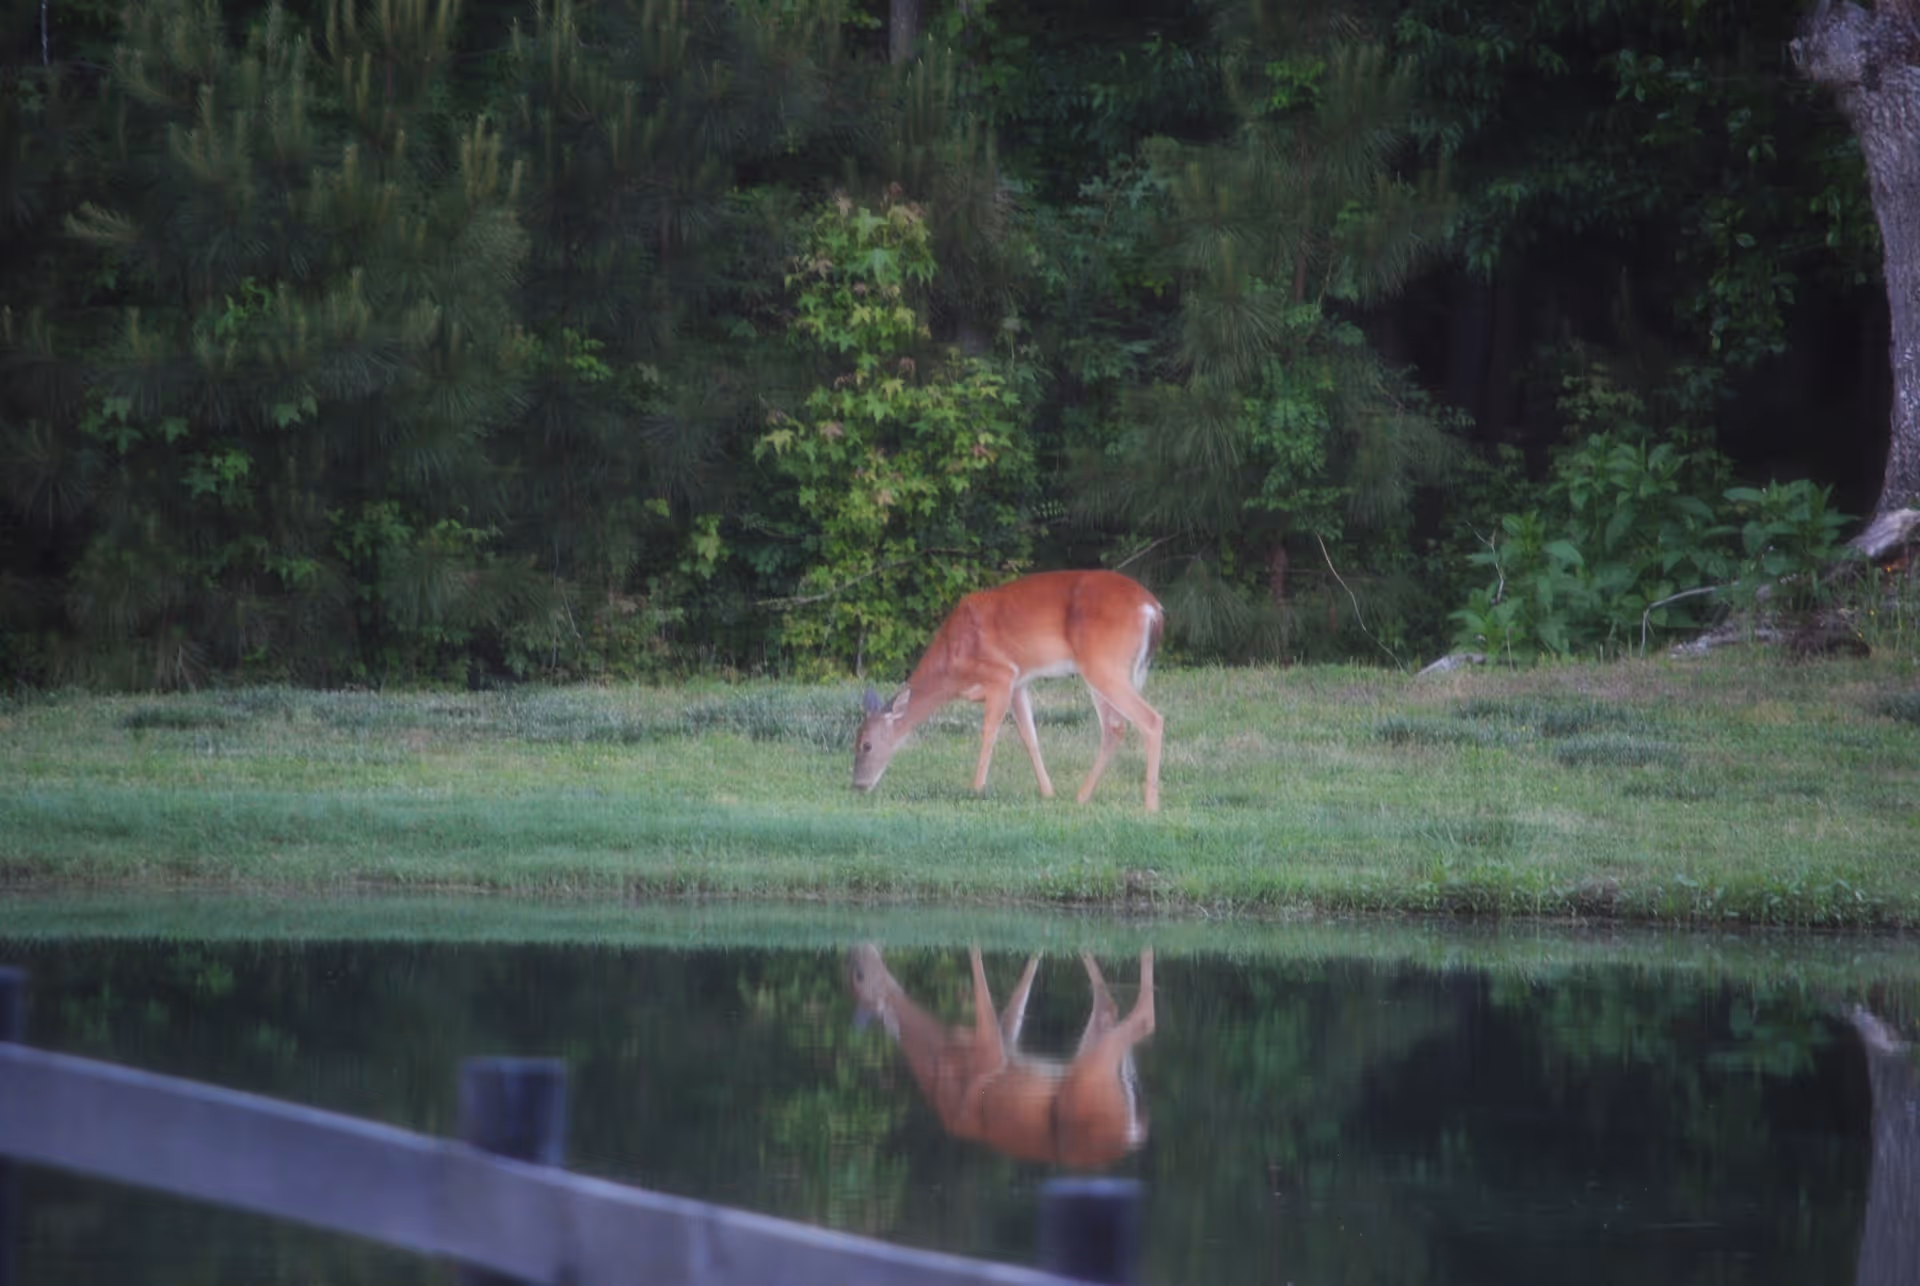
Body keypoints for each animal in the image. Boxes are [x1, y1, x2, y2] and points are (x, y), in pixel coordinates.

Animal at [846, 943, 1155, 1170]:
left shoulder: (989, 1055)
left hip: (1089, 1079)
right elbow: (1015, 1005)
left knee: (1132, 1015)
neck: (942, 1054)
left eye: (858, 977)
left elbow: (975, 958)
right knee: (1108, 1010)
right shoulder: (1007, 1044)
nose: (853, 949)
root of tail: (1133, 1133)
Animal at [852, 570, 1166, 811]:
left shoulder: (1002, 674)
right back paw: (1081, 796)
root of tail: (1152, 608)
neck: (951, 667)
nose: (857, 785)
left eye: (866, 745)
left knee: (1150, 719)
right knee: (1115, 727)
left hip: (1103, 664)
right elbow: (1029, 736)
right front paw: (1047, 792)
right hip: (1103, 670)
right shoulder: (1019, 683)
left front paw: (976, 789)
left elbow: (989, 732)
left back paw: (1150, 805)